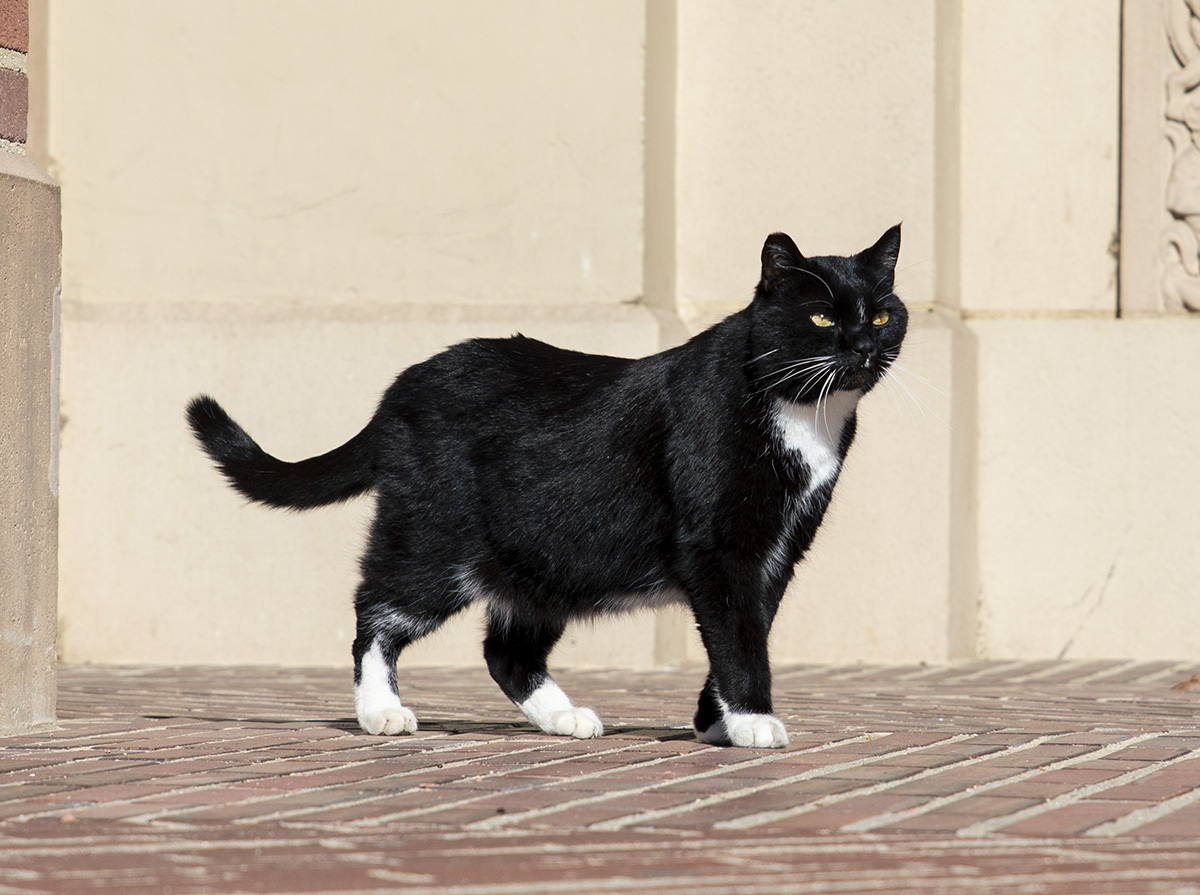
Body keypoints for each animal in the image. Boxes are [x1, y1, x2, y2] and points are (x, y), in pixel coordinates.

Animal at [187, 224, 902, 743]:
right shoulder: (721, 549)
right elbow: (738, 633)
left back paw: (563, 717)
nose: (863, 346)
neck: (805, 414)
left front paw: (715, 721)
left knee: (505, 649)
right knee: (376, 612)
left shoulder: (779, 551)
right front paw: (752, 721)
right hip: (437, 539)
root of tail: (400, 388)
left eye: (882, 315)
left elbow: (749, 626)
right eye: (822, 319)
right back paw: (380, 711)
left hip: (547, 561)